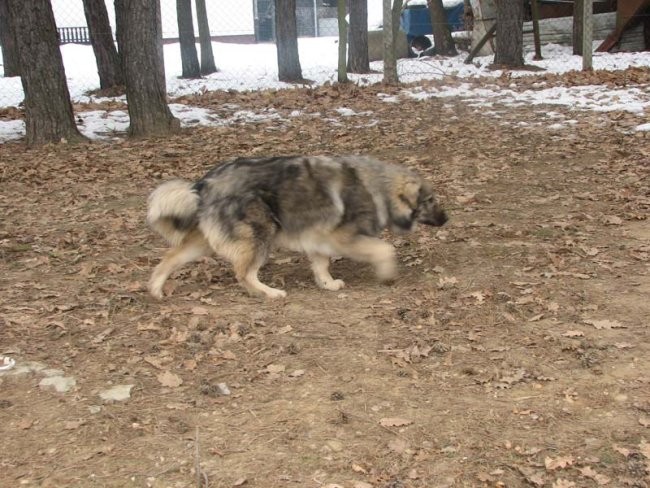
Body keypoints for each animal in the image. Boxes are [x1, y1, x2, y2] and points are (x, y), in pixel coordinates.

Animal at [146, 156, 446, 300]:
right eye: (430, 201)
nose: (447, 219)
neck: (379, 188)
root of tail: (202, 184)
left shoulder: (319, 238)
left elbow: (321, 265)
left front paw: (327, 284)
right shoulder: (343, 238)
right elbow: (385, 250)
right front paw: (388, 275)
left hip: (203, 243)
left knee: (170, 258)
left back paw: (156, 289)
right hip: (261, 235)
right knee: (244, 274)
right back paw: (269, 293)